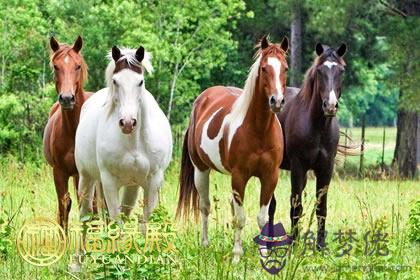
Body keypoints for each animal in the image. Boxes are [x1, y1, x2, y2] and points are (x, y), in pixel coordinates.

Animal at [74, 46, 171, 224]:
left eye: (140, 82)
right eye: (115, 81)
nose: (127, 123)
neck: (134, 143)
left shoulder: (153, 182)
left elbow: (143, 222)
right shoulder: (109, 182)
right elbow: (116, 221)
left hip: (131, 186)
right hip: (86, 178)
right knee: (86, 215)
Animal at [176, 35, 288, 262]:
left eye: (285, 68)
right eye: (264, 68)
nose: (277, 101)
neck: (259, 130)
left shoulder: (270, 177)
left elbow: (261, 218)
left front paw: (264, 255)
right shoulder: (239, 176)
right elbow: (241, 218)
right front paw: (237, 256)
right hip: (201, 170)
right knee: (205, 206)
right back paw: (205, 244)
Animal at [274, 43, 346, 249]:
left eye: (342, 71)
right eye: (320, 71)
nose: (330, 106)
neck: (318, 127)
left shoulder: (326, 168)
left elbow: (321, 208)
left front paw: (320, 246)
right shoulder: (298, 167)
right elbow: (296, 206)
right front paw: (294, 244)